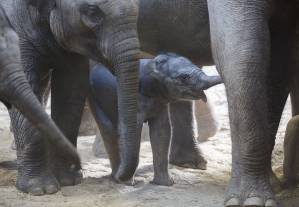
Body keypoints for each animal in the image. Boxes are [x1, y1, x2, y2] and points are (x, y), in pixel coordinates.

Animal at [0, 0, 141, 194]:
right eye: (92, 11)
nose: (121, 178)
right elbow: (26, 85)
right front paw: (41, 190)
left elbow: (72, 86)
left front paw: (69, 181)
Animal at [88, 53, 221, 186]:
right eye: (184, 77)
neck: (152, 63)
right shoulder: (137, 98)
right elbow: (132, 130)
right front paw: (128, 182)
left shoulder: (160, 100)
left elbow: (162, 130)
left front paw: (166, 184)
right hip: (95, 97)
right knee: (108, 129)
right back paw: (117, 178)